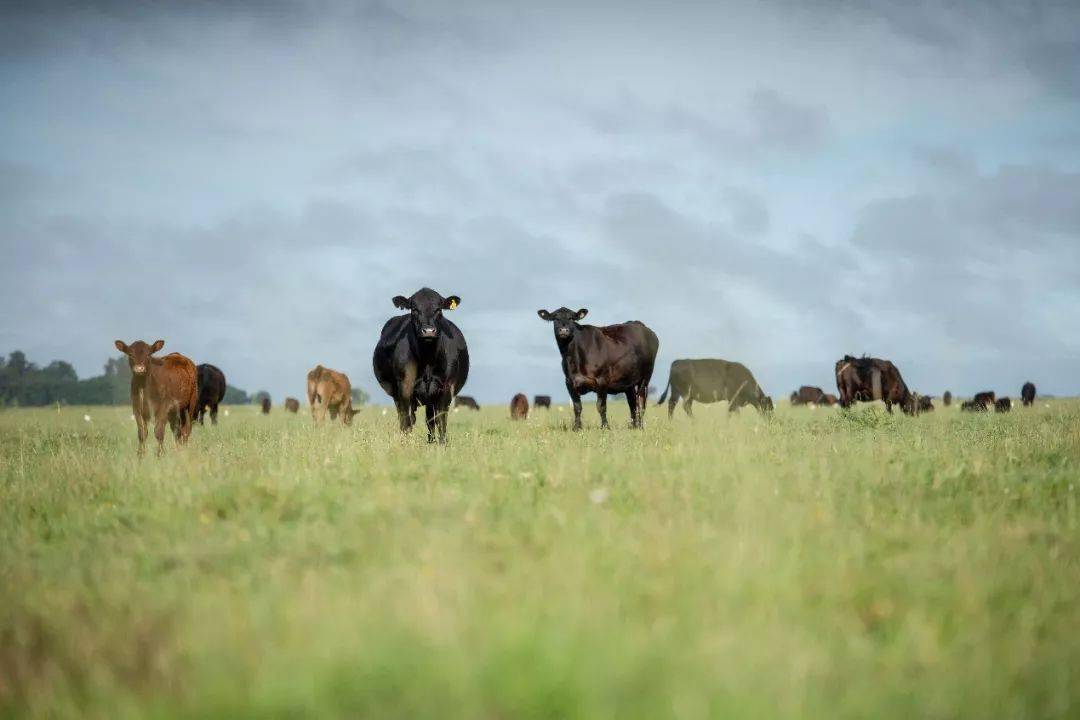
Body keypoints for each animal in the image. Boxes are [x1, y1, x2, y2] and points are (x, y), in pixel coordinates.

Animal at [375, 289, 468, 444]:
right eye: (414, 309)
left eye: (439, 309)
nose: (428, 331)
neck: (427, 359)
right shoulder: (405, 387)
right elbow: (406, 422)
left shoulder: (446, 388)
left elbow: (441, 421)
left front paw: (441, 445)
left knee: (430, 420)